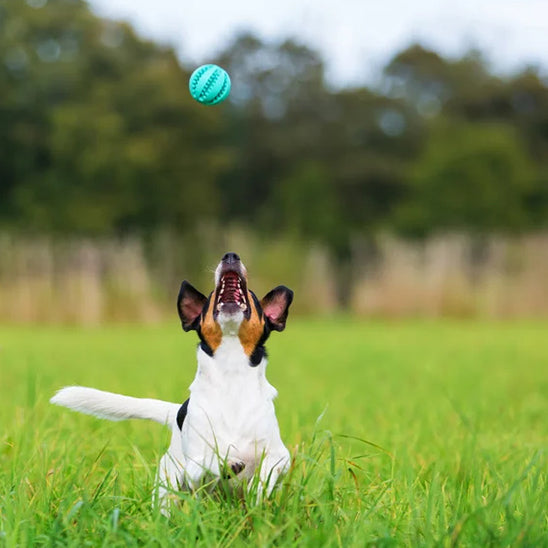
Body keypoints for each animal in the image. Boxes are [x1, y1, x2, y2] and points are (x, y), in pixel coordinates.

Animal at [49, 252, 294, 510]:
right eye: (210, 297)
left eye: (253, 296)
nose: (230, 256)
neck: (231, 375)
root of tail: (176, 410)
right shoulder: (193, 469)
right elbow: (204, 463)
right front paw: (224, 463)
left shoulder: (281, 455)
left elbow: (267, 472)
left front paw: (257, 490)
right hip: (167, 487)